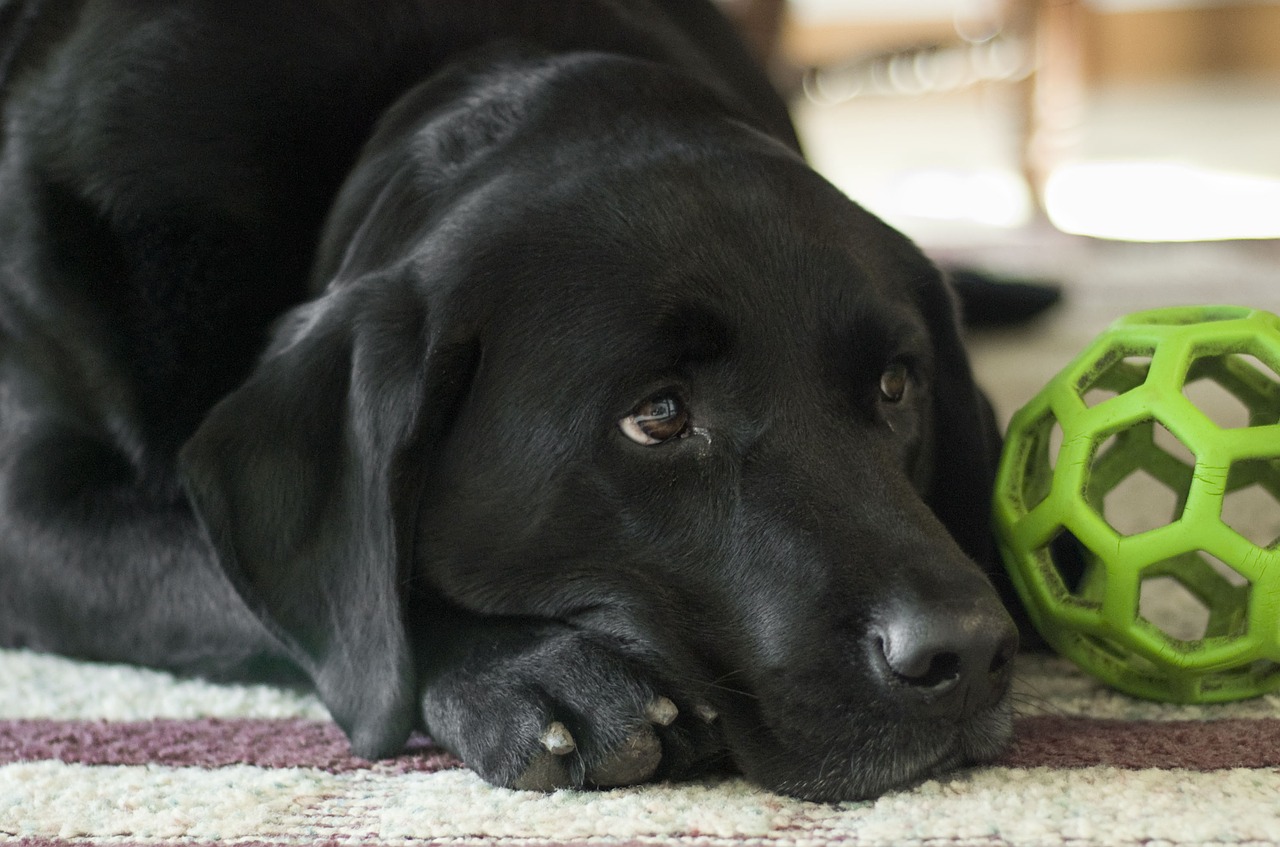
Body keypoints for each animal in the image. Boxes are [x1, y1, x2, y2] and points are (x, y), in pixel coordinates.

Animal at [0, 0, 1018, 803]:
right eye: (658, 416)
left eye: (895, 384)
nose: (965, 652)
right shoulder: (31, 516)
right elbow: (287, 595)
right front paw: (537, 676)